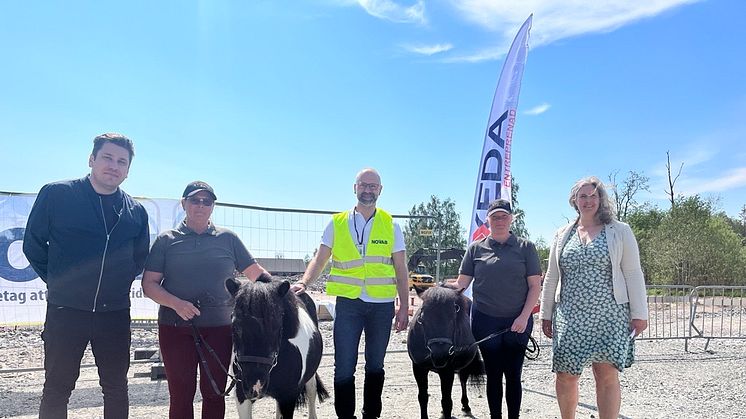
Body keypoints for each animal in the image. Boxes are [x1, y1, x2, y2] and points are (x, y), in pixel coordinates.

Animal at [225, 276, 326, 419]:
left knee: (312, 391)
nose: (255, 384)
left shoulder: (289, 396)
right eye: (235, 326)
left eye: (277, 326)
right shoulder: (242, 396)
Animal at [406, 286, 482, 419]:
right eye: (422, 320)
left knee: (463, 380)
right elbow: (423, 397)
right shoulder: (419, 368)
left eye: (453, 319)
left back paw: (466, 406)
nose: (440, 355)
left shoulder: (447, 371)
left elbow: (447, 402)